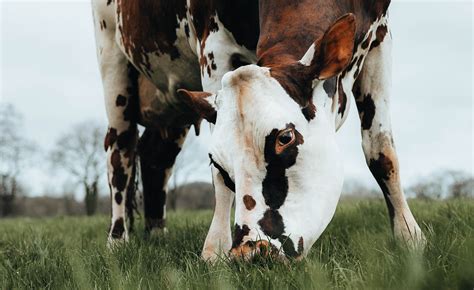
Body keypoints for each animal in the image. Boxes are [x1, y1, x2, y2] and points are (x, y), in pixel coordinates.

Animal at [90, 0, 424, 260]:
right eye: (218, 162)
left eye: (285, 138)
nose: (251, 250)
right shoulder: (213, 47)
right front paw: (216, 250)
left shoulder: (380, 36)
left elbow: (380, 151)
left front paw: (408, 236)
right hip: (112, 61)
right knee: (120, 155)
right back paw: (117, 241)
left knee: (154, 157)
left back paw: (157, 234)